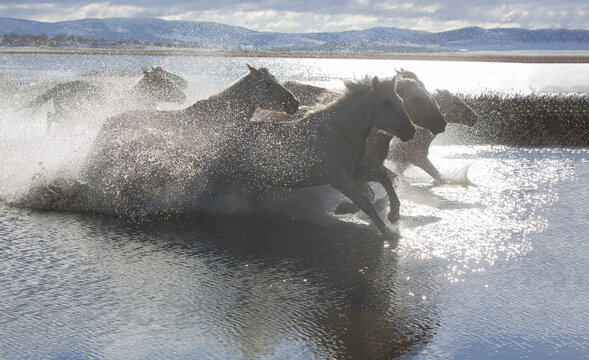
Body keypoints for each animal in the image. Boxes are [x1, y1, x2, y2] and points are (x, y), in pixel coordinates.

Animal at [207, 76, 414, 236]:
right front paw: (387, 231)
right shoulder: (340, 180)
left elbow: (384, 181)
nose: (410, 131)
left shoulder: (357, 172)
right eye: (385, 103)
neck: (340, 133)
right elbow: (366, 202)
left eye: (401, 100)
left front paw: (392, 215)